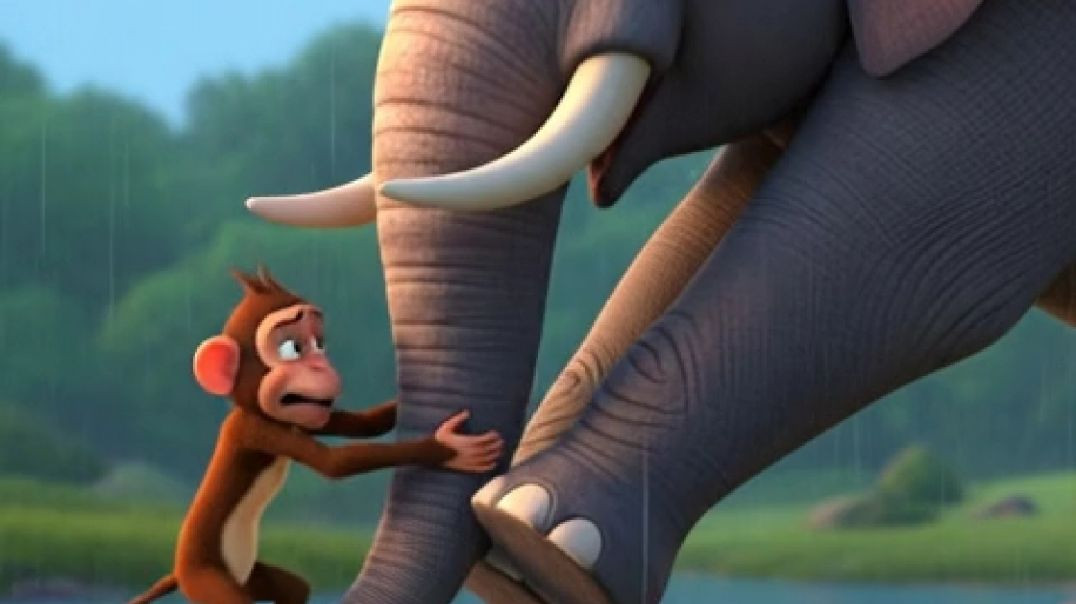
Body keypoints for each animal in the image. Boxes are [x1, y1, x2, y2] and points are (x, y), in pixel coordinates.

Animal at [129, 267, 504, 604]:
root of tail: (177, 574)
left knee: (294, 589)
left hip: (250, 577)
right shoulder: (261, 431)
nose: (323, 366)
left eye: (320, 344)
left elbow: (358, 424)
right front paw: (451, 447)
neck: (254, 410)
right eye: (292, 349)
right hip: (208, 580)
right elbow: (335, 464)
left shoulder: (307, 419)